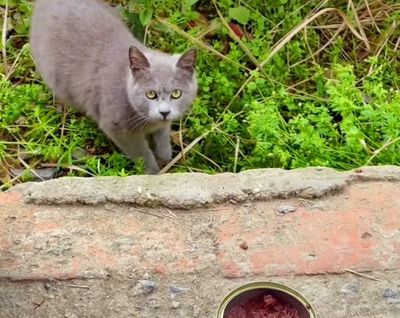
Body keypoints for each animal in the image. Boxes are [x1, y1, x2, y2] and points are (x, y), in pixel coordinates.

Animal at [29, 0, 197, 174]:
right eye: (150, 94)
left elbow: (163, 134)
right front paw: (153, 172)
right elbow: (142, 153)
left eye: (176, 93)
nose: (164, 112)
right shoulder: (118, 129)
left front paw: (165, 154)